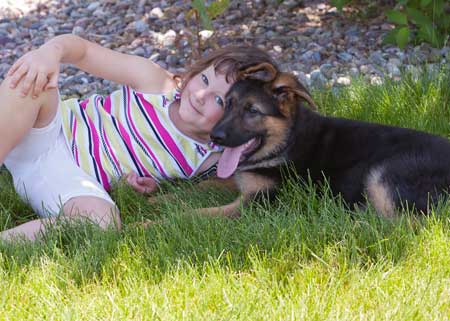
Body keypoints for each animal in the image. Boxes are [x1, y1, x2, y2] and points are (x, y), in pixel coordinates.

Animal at [206, 62, 450, 218]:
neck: (287, 140)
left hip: (383, 174)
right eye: (227, 103)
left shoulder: (259, 201)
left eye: (252, 111)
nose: (214, 137)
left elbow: (206, 213)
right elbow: (215, 181)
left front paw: (193, 219)